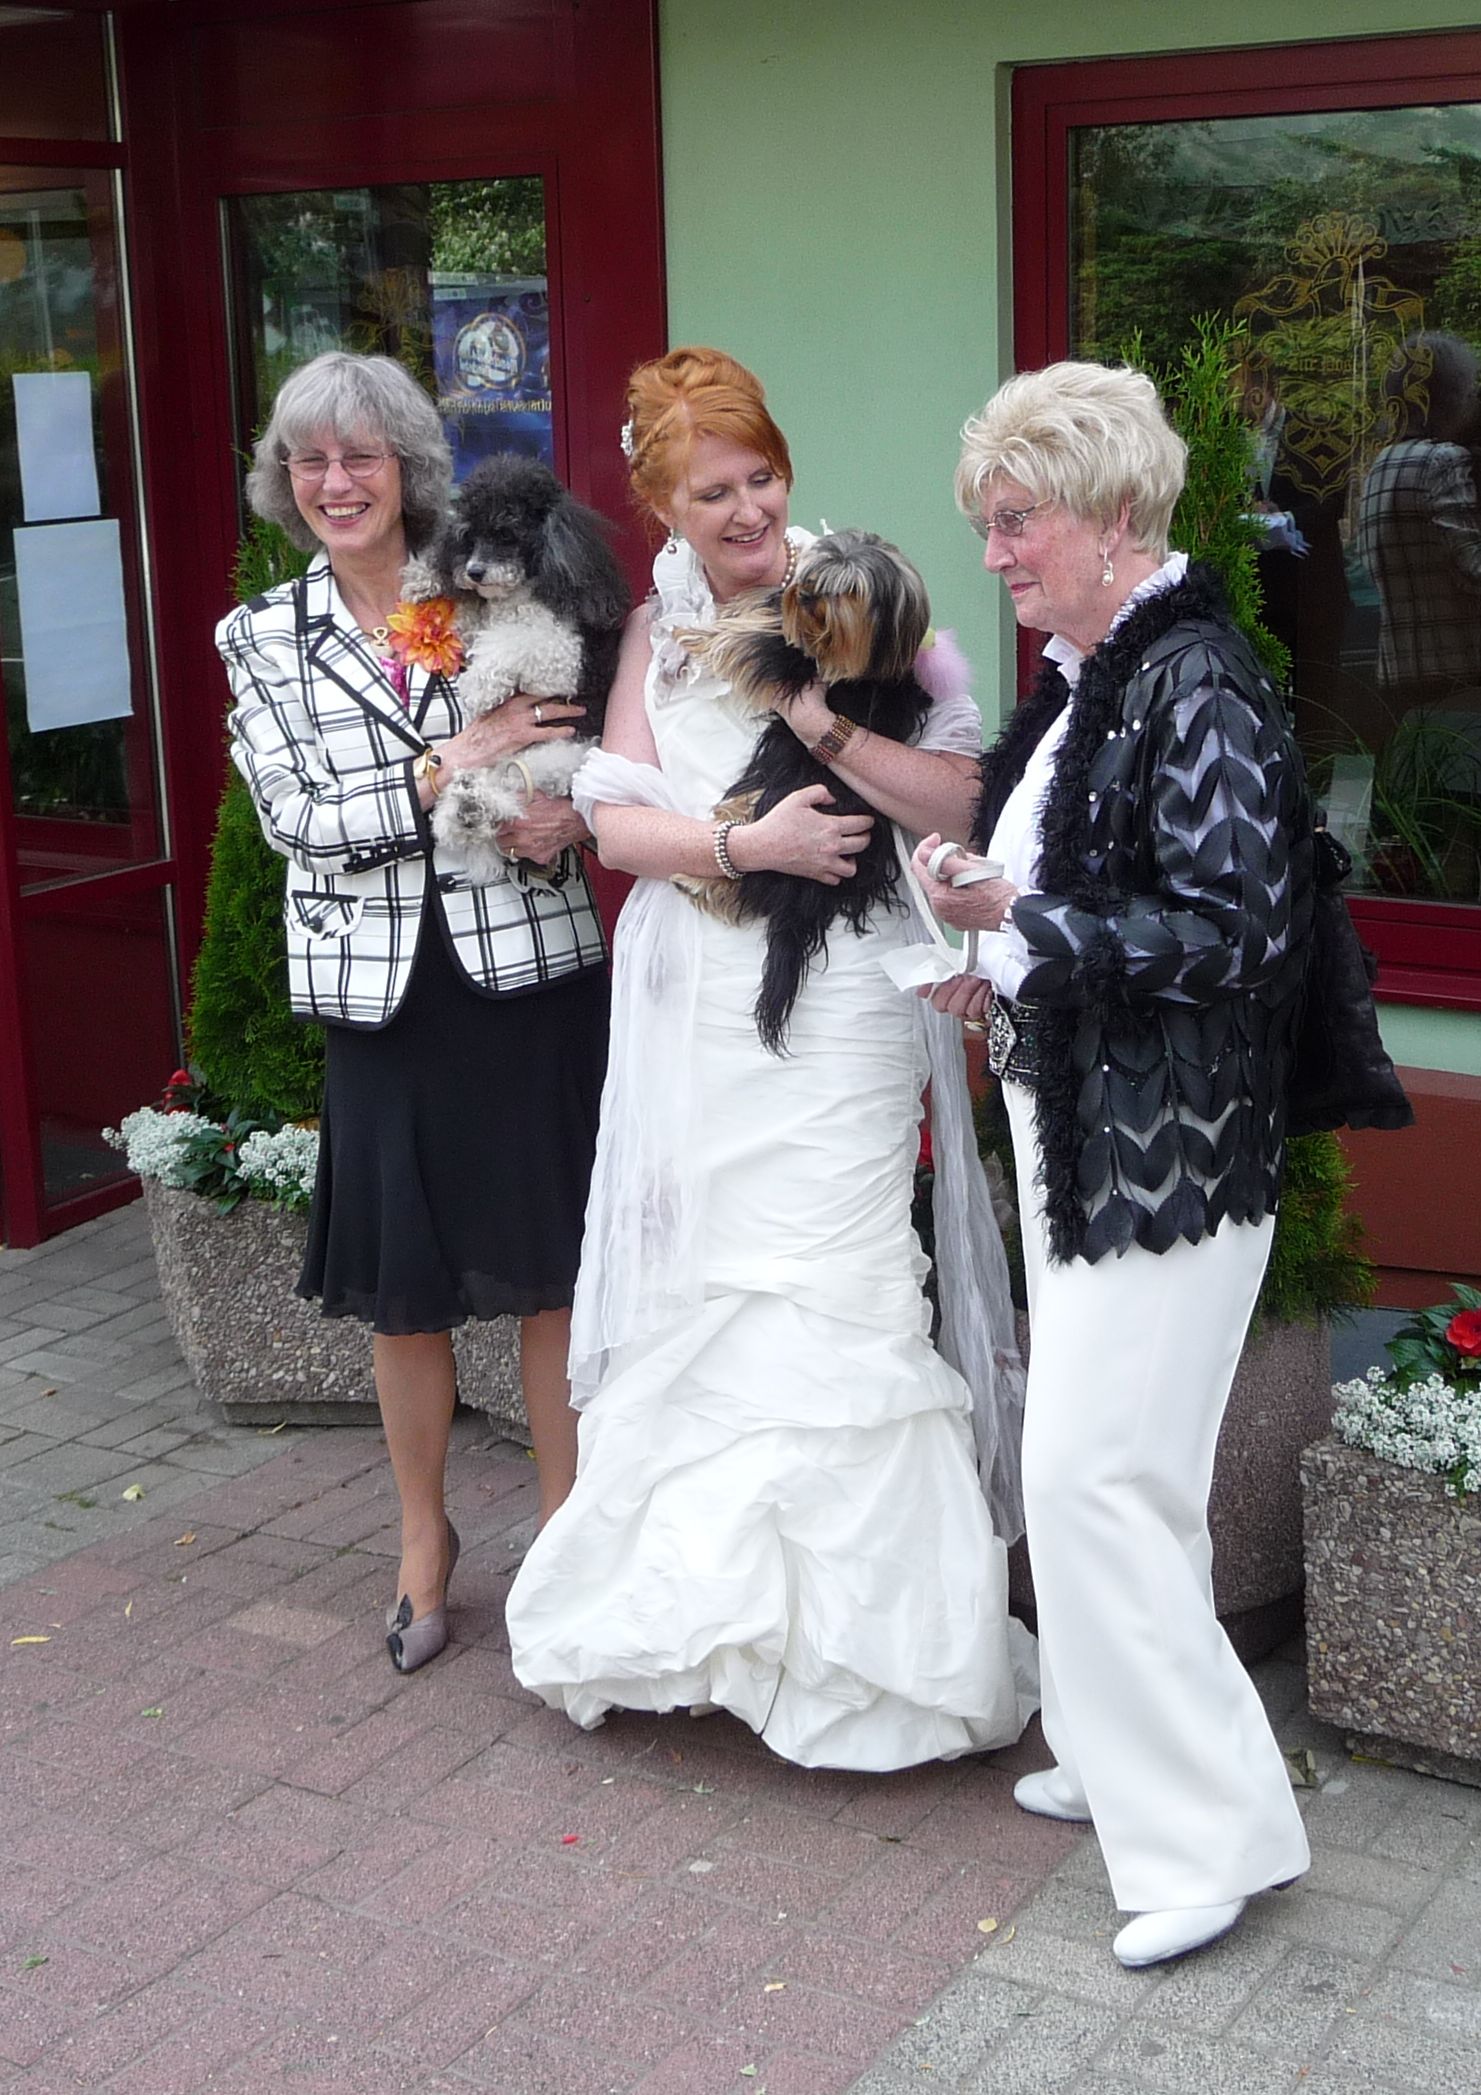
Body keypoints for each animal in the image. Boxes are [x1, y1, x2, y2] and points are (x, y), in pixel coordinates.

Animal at [406, 454, 632, 879]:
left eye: (507, 533)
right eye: (469, 536)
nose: (474, 572)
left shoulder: (566, 654)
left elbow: (514, 641)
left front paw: (479, 687)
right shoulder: (479, 624)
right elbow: (468, 621)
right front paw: (423, 580)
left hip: (561, 755)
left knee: (514, 793)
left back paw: (474, 809)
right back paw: (464, 809)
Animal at [687, 523, 938, 1047]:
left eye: (852, 591)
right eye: (816, 573)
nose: (804, 595)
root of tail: (804, 895)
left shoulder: (790, 665)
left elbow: (746, 638)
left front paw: (697, 634)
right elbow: (762, 610)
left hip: (775, 811)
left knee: (745, 869)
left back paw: (699, 880)